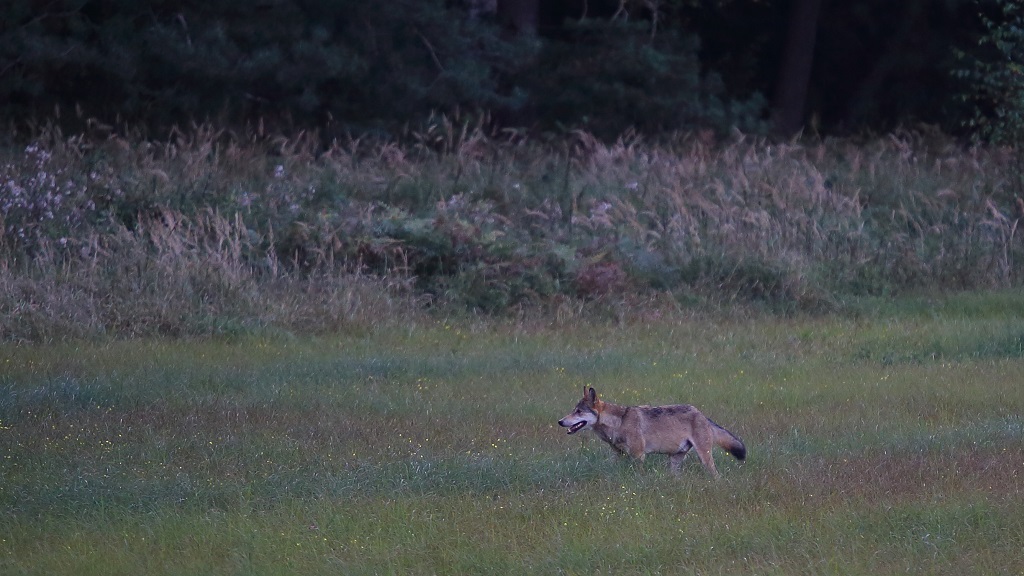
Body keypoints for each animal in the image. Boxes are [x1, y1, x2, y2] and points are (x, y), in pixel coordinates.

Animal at [558, 386, 746, 477]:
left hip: (704, 458)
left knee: (716, 475)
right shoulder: (617, 455)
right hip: (675, 461)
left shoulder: (639, 456)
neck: (619, 422)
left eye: (578, 412)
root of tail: (701, 414)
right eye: (573, 410)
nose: (560, 421)